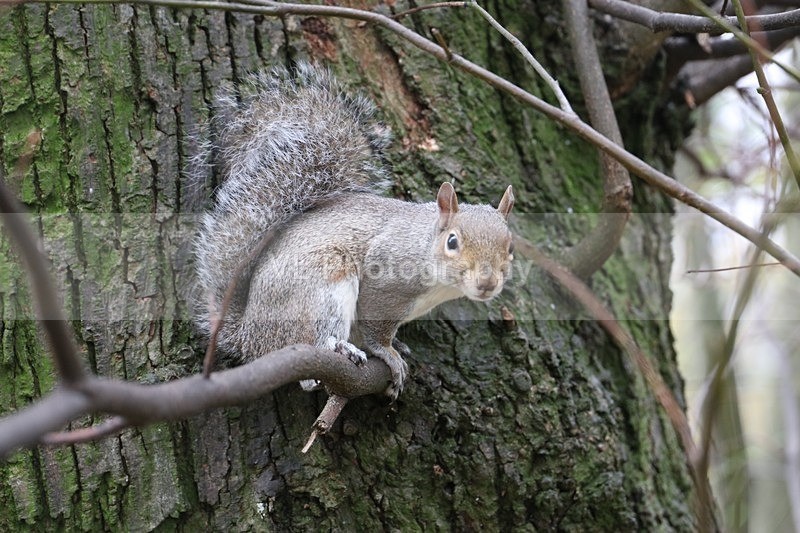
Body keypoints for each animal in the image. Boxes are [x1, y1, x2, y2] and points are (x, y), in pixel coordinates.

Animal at [194, 63, 515, 400]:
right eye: (452, 242)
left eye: (510, 248)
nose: (487, 283)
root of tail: (249, 335)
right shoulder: (385, 278)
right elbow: (376, 329)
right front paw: (388, 352)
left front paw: (395, 345)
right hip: (322, 286)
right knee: (310, 342)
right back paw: (338, 348)